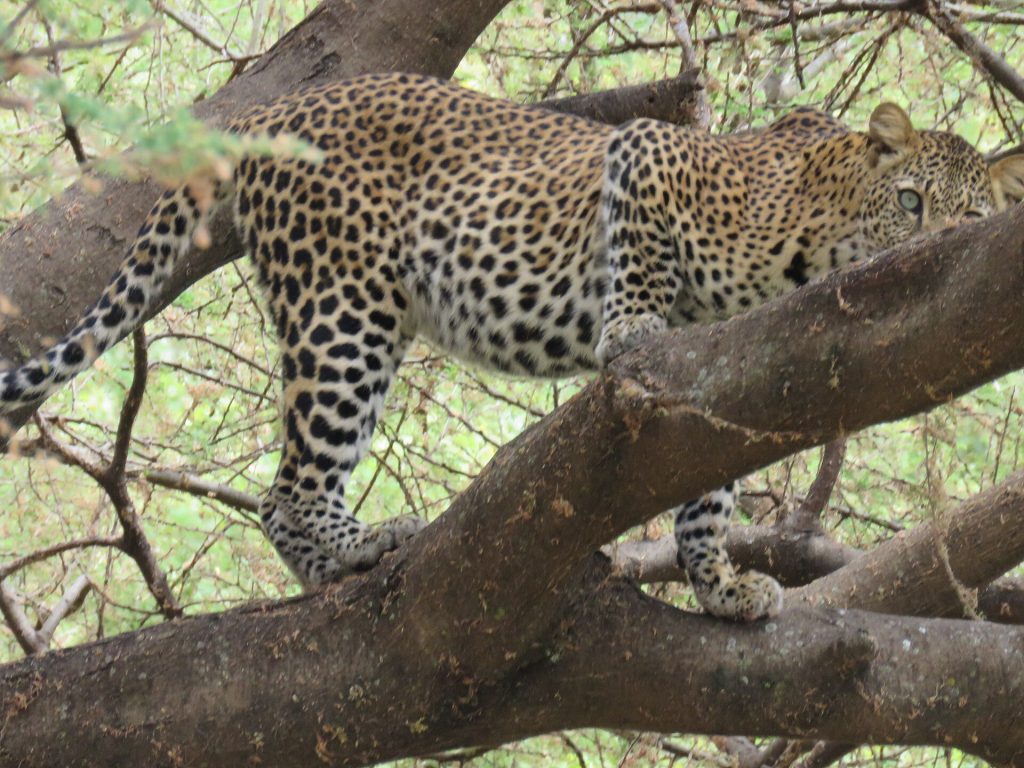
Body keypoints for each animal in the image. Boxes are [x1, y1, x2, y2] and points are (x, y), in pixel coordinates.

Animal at [2, 72, 1023, 622]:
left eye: (976, 218)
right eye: (912, 203)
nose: (938, 245)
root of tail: (287, 104)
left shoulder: (732, 372)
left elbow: (707, 490)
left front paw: (720, 586)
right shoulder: (647, 153)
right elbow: (637, 256)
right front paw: (631, 328)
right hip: (344, 306)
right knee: (287, 488)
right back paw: (357, 548)